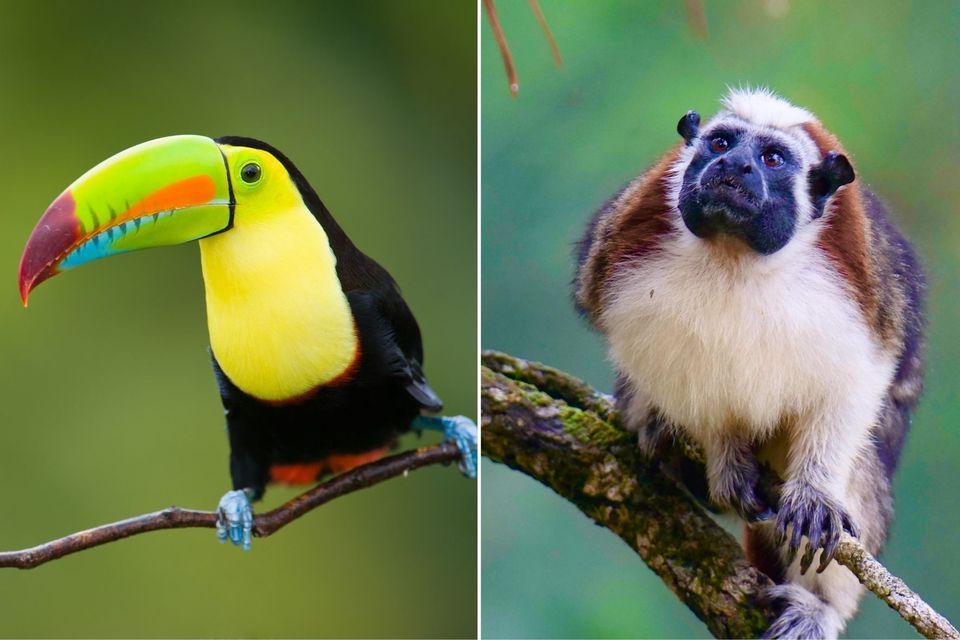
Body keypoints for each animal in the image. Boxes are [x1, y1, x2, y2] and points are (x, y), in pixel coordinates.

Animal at [575, 88, 925, 639]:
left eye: (772, 159)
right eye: (721, 143)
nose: (734, 165)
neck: (734, 255)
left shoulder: (863, 282)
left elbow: (859, 380)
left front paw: (813, 493)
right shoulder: (623, 248)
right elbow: (676, 375)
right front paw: (725, 455)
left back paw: (817, 604)